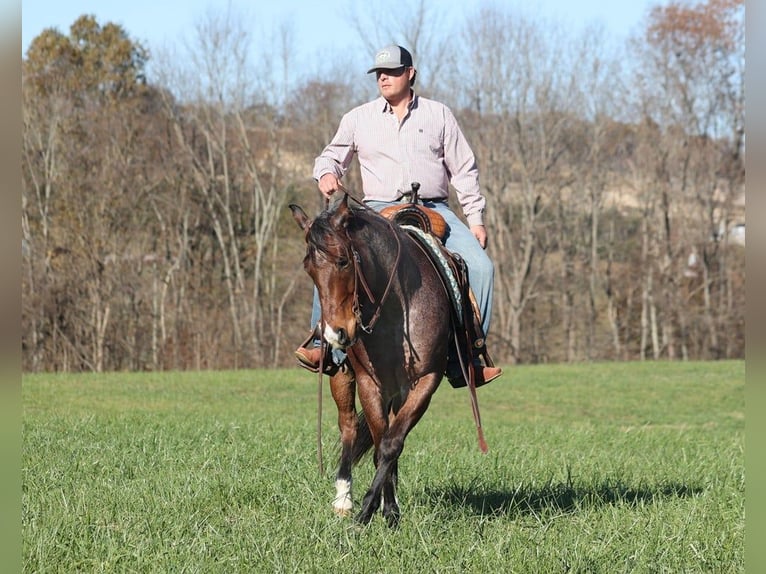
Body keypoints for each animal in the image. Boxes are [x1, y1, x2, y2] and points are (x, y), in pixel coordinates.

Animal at [294, 196, 486, 528]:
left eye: (344, 261)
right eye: (309, 268)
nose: (335, 334)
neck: (398, 307)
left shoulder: (424, 381)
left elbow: (391, 445)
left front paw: (383, 510)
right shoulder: (371, 384)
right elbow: (379, 443)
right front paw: (371, 510)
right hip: (343, 376)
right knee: (348, 427)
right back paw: (343, 499)